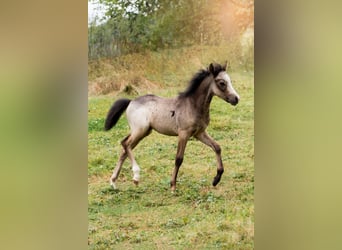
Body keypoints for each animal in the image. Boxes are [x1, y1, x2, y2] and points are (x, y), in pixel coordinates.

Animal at [104, 61, 240, 190]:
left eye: (230, 81)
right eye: (222, 83)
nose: (236, 99)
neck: (193, 105)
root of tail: (131, 101)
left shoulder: (199, 133)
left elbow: (217, 147)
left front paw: (216, 179)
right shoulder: (183, 134)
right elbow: (179, 159)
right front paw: (173, 185)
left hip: (143, 132)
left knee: (124, 149)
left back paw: (114, 181)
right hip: (140, 131)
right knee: (125, 144)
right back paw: (136, 177)